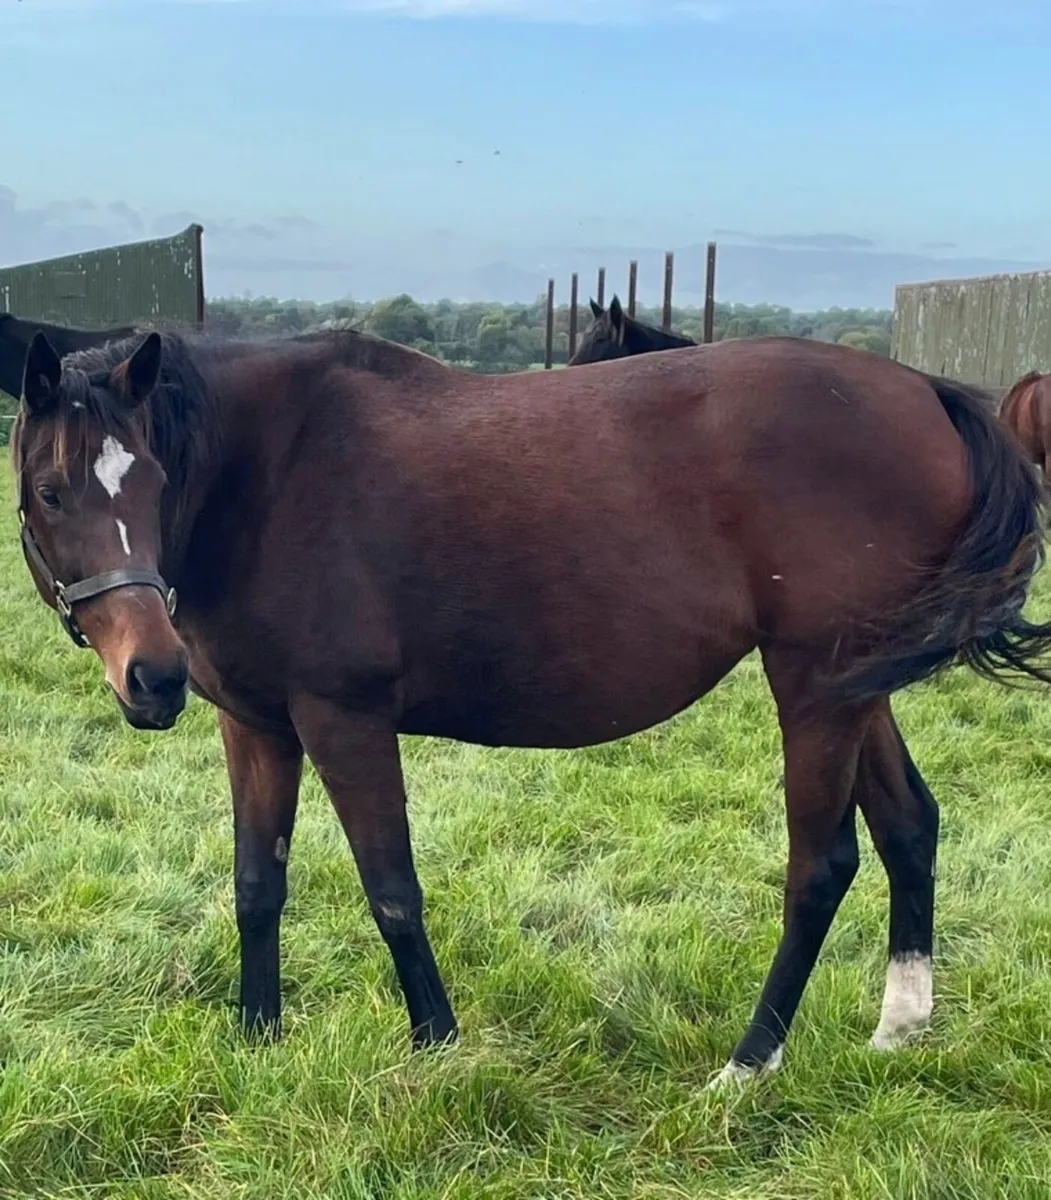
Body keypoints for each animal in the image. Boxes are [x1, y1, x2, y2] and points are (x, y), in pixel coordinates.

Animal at [12, 325, 1051, 1088]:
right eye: (51, 492)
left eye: (149, 480)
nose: (152, 677)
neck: (262, 476)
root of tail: (925, 393)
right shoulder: (258, 727)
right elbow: (255, 883)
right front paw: (256, 1041)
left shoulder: (344, 720)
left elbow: (391, 889)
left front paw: (437, 1047)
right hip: (853, 683)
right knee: (909, 826)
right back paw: (898, 1024)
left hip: (812, 686)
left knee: (819, 866)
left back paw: (747, 1064)